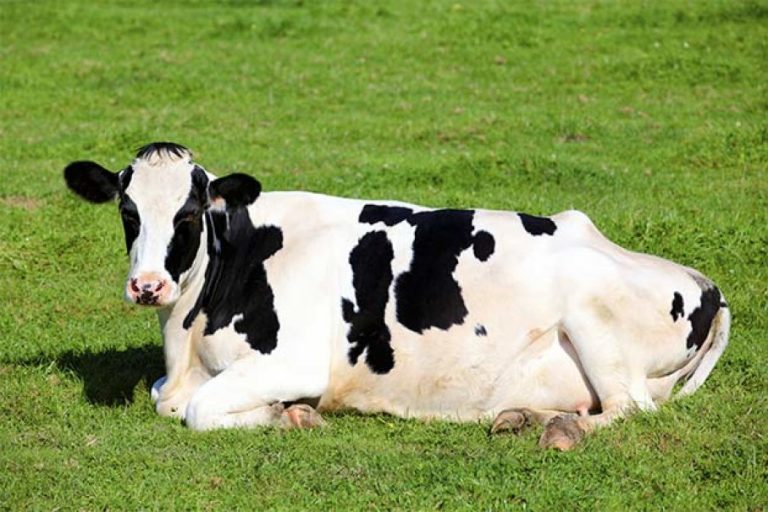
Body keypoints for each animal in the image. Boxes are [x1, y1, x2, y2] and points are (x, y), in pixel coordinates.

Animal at [63, 142, 730, 450]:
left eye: (190, 211)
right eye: (127, 210)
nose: (148, 285)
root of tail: (705, 282)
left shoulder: (295, 361)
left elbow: (196, 411)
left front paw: (290, 415)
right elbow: (163, 399)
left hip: (595, 321)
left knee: (628, 409)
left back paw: (560, 429)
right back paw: (521, 417)